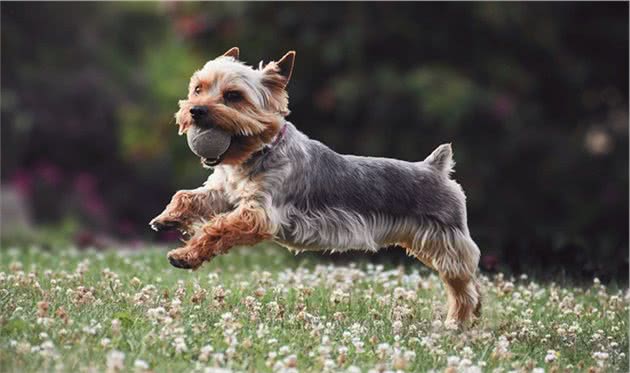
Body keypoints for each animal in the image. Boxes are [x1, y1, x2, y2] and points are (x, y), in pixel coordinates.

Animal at [149, 47, 484, 322]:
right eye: (198, 88)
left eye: (233, 96)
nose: (195, 110)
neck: (256, 152)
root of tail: (435, 168)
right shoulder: (224, 191)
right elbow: (187, 196)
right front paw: (166, 218)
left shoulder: (259, 213)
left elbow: (217, 228)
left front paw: (184, 255)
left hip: (445, 239)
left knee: (463, 283)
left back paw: (458, 322)